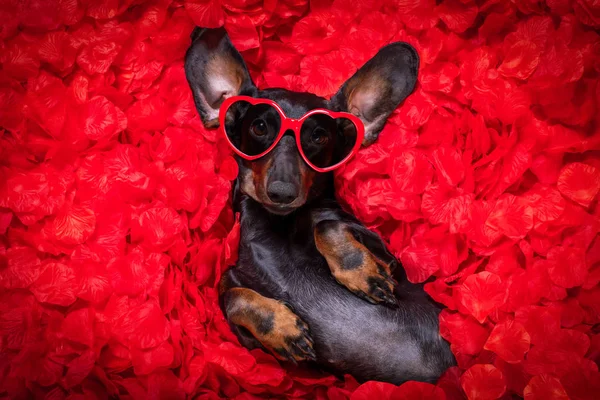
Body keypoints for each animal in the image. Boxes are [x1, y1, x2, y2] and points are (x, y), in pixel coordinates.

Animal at [184, 27, 454, 384]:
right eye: (259, 127)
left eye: (318, 136)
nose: (282, 192)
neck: (279, 225)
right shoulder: (243, 326)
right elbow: (230, 296)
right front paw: (284, 329)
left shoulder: (391, 261)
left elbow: (326, 225)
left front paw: (363, 275)